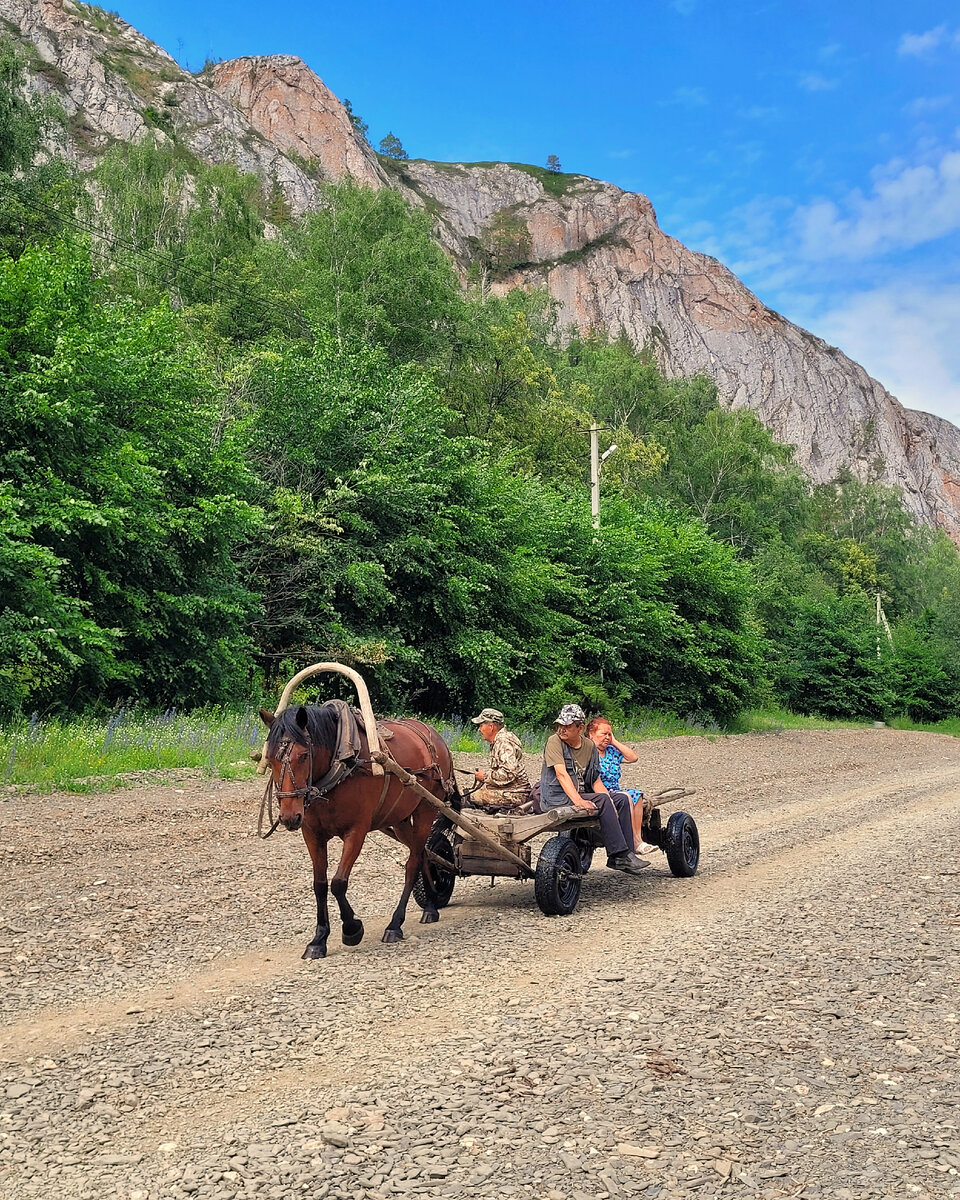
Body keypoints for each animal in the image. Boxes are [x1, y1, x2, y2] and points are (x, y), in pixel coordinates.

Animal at [260, 700, 456, 960]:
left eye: (303, 756)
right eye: (270, 757)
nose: (289, 817)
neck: (340, 765)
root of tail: (435, 736)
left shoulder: (356, 832)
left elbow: (338, 882)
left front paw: (352, 929)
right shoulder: (312, 835)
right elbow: (319, 885)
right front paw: (318, 939)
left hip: (426, 809)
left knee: (412, 863)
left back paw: (395, 924)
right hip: (400, 819)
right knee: (423, 853)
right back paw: (432, 904)